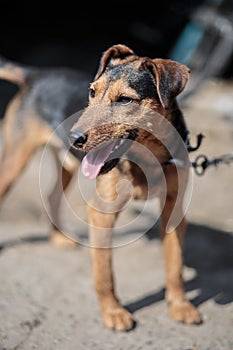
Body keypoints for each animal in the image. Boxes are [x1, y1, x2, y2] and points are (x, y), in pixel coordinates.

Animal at [69, 43, 202, 330]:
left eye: (125, 100)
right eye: (92, 92)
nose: (73, 138)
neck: (148, 157)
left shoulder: (174, 209)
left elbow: (175, 265)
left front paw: (180, 305)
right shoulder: (103, 213)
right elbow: (104, 274)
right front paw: (113, 312)